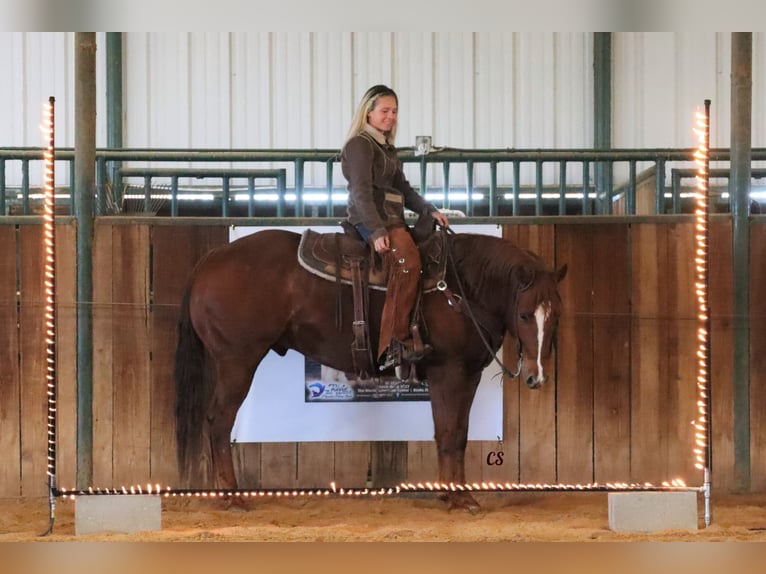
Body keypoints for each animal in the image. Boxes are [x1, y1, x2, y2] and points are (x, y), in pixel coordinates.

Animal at [176, 227, 568, 510]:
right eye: (523, 315)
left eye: (556, 315)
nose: (536, 377)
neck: (460, 289)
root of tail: (211, 259)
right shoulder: (448, 371)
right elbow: (448, 432)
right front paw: (458, 499)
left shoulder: (468, 374)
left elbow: (458, 434)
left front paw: (454, 493)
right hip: (237, 362)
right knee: (219, 422)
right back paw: (232, 497)